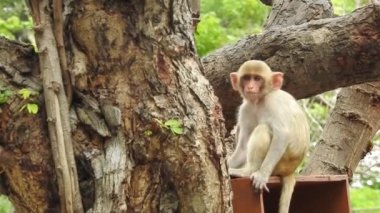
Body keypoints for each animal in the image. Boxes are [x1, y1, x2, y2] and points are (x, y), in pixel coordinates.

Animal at [226, 59, 308, 213]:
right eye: (247, 78)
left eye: (257, 78)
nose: (251, 86)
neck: (259, 100)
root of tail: (291, 170)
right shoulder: (246, 108)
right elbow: (243, 146)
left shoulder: (272, 101)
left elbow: (282, 134)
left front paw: (262, 175)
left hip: (281, 163)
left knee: (263, 129)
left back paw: (247, 172)